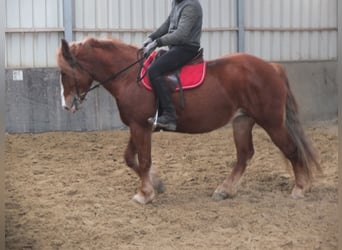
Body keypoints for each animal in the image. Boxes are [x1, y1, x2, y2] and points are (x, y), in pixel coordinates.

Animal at [56, 37, 320, 205]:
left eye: (65, 72)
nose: (67, 105)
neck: (130, 76)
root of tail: (272, 67)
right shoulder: (138, 126)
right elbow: (130, 158)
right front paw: (157, 184)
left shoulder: (141, 126)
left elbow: (143, 160)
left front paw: (145, 194)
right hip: (242, 121)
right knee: (244, 155)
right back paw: (225, 190)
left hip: (272, 123)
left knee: (291, 149)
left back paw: (300, 188)